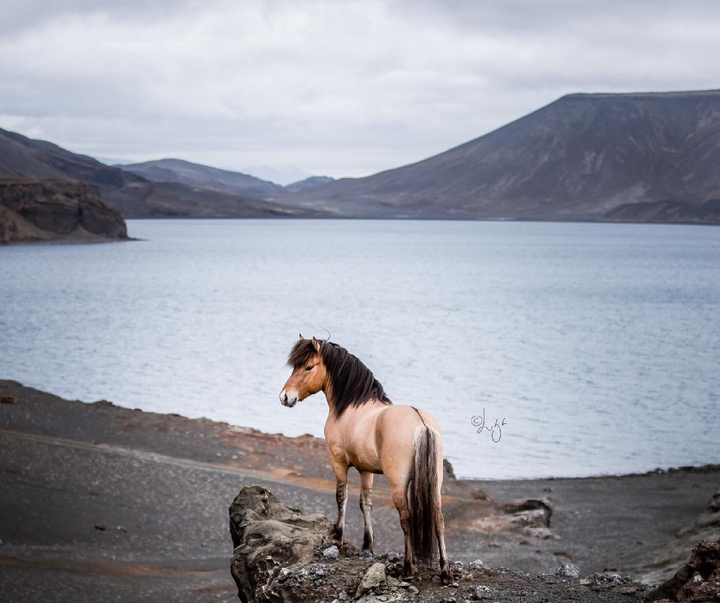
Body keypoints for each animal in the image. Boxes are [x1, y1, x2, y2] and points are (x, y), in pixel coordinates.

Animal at [280, 338, 450, 584]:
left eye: (308, 367)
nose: (285, 397)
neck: (351, 407)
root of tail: (422, 424)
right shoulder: (365, 470)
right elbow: (365, 503)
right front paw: (367, 545)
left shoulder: (338, 462)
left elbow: (341, 497)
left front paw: (338, 537)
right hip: (435, 484)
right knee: (438, 518)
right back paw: (445, 571)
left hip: (398, 483)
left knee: (406, 517)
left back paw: (408, 567)